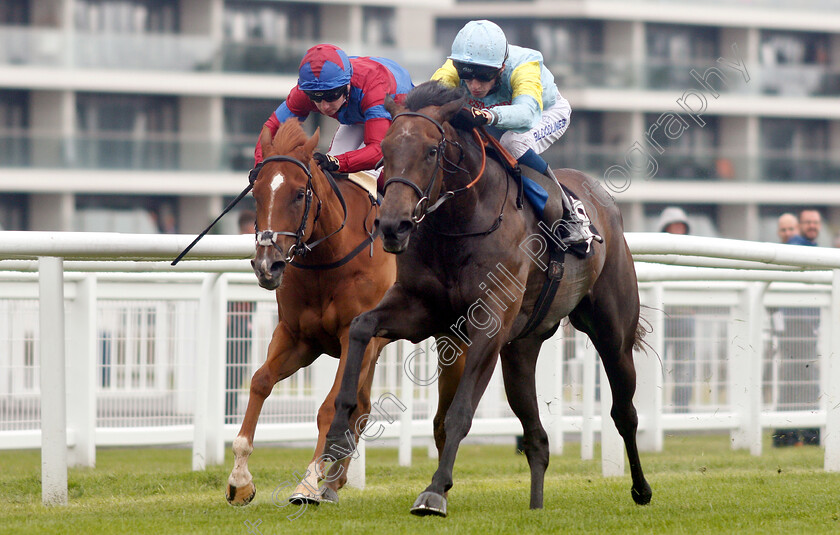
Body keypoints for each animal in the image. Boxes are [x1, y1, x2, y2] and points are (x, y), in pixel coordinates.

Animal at [225, 120, 398, 506]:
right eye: (257, 193)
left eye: (298, 194)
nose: (267, 265)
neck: (328, 259)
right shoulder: (298, 337)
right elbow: (260, 381)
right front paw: (240, 479)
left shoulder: (354, 337)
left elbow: (331, 407)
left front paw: (307, 482)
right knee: (363, 407)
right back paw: (335, 481)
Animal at [324, 82, 652, 516]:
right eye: (386, 149)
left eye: (432, 150)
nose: (393, 226)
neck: (461, 223)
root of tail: (603, 201)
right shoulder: (421, 309)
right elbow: (361, 328)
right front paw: (336, 434)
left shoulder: (489, 324)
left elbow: (459, 412)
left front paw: (435, 490)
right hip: (521, 350)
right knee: (537, 439)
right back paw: (536, 507)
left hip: (612, 331)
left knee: (624, 411)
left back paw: (641, 488)